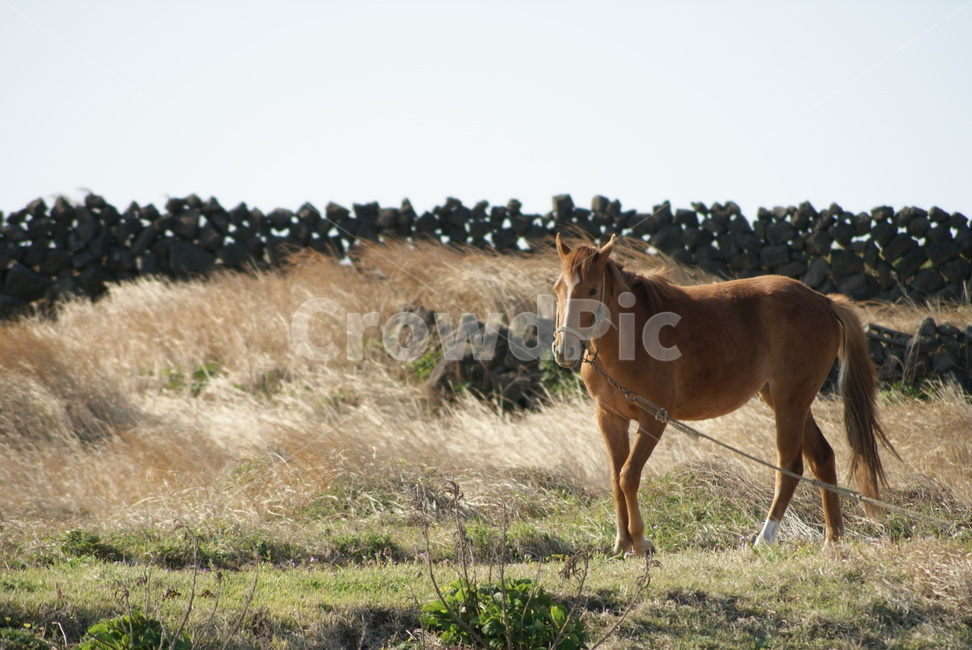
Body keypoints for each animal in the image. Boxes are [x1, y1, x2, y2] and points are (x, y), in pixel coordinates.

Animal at [551, 234, 899, 554]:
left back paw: (765, 537)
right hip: (788, 401)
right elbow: (615, 479)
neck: (633, 335)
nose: (563, 350)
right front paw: (622, 542)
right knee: (822, 458)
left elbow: (628, 476)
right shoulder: (610, 418)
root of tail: (823, 301)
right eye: (557, 289)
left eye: (592, 290)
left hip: (790, 403)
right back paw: (833, 539)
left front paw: (639, 541)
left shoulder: (653, 419)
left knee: (790, 467)